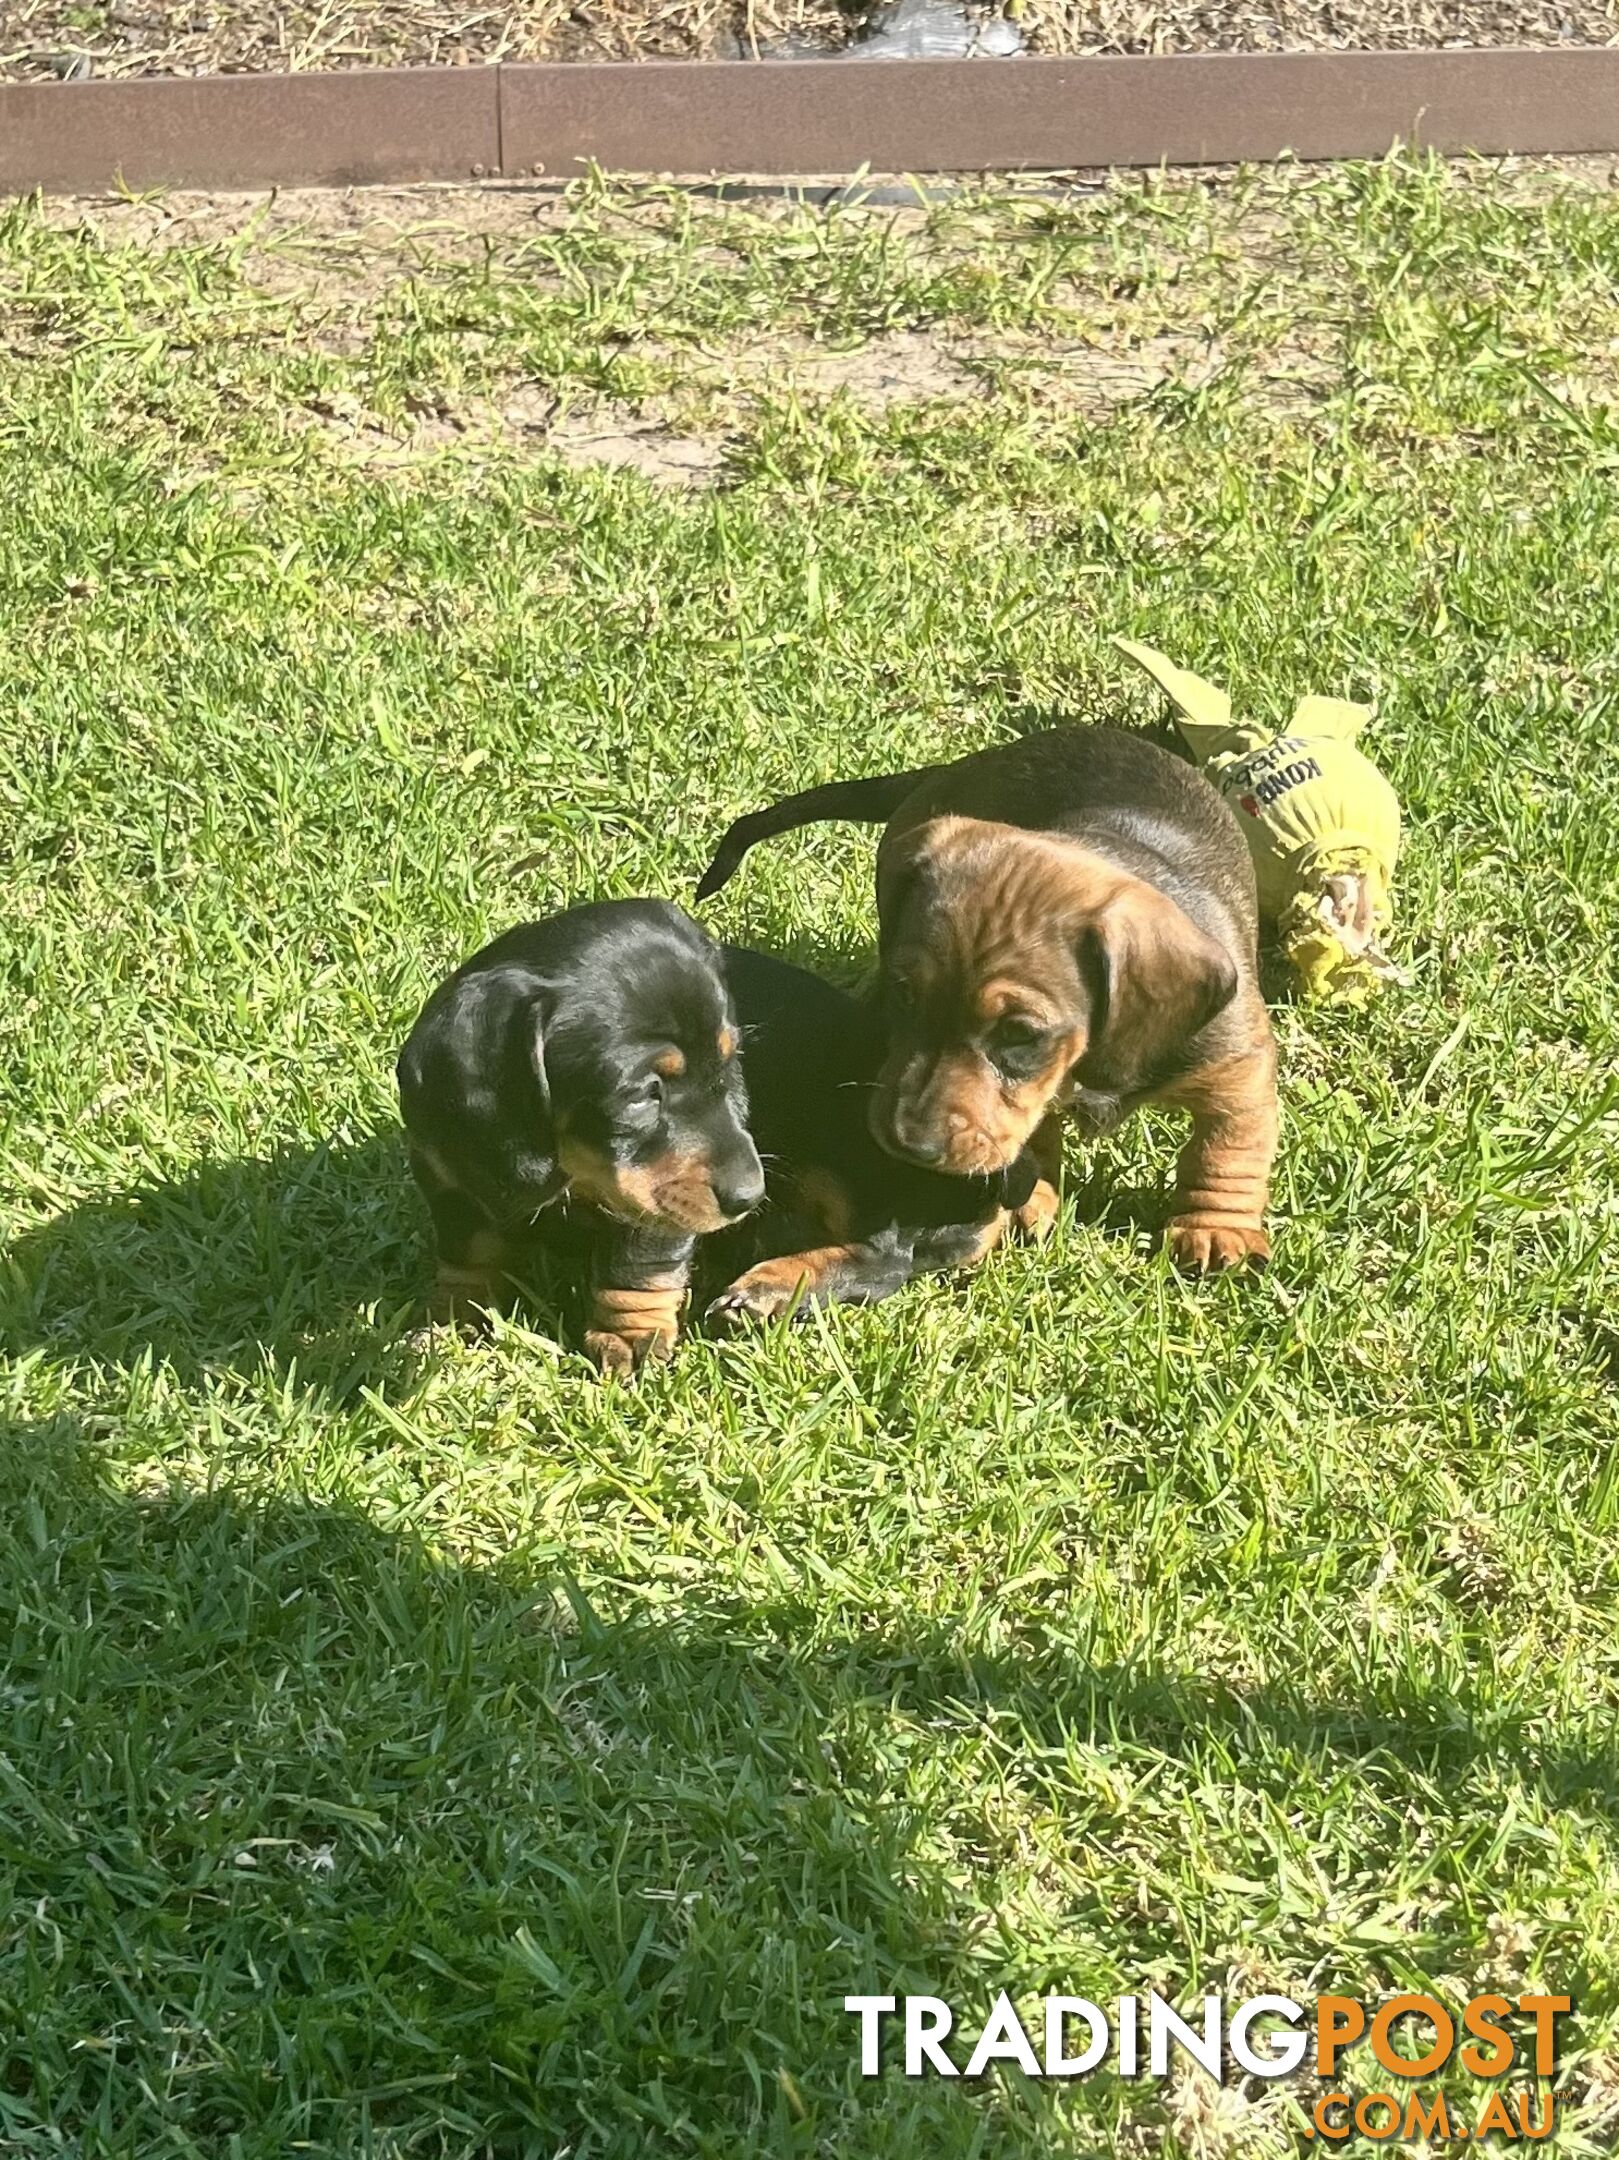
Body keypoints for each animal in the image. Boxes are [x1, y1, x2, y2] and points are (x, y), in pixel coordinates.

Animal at [397, 898, 768, 1373]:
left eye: (729, 1060)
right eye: (642, 1094)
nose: (749, 1197)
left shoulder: (658, 1200)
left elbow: (641, 1264)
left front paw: (629, 1334)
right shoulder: (448, 1175)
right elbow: (470, 1250)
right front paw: (453, 1318)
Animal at [699, 717, 1277, 1270]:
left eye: (1020, 1033)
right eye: (906, 995)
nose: (908, 1144)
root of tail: (963, 763)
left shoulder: (1235, 1063)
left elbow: (1227, 1148)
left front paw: (1216, 1228)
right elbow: (1035, 1131)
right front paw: (1034, 1195)